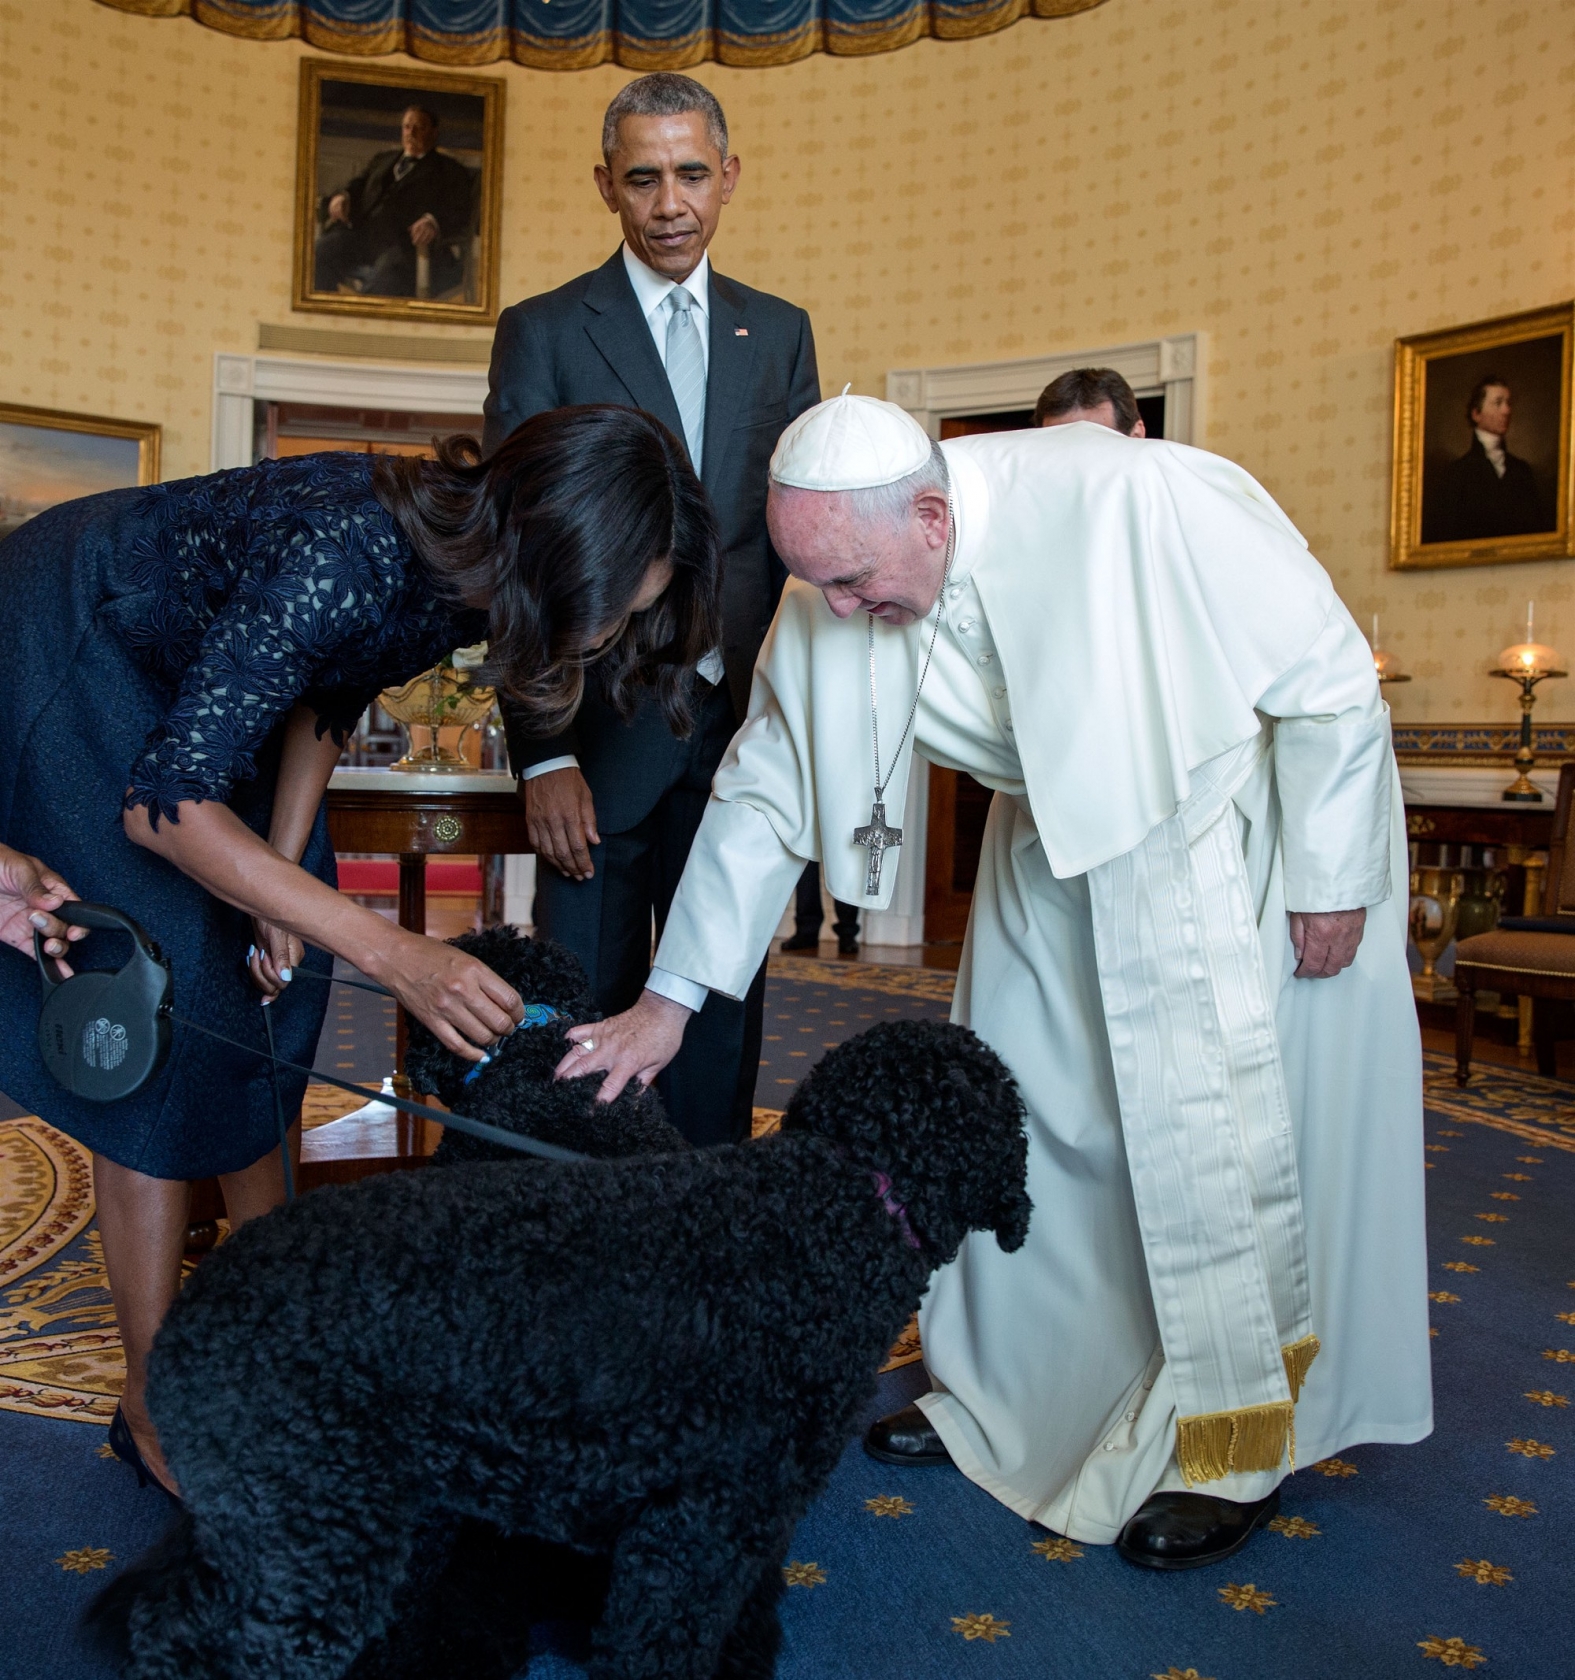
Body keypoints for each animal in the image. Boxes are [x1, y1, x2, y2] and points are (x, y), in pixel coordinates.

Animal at [98, 927, 1034, 1673]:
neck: (837, 1195)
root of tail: (193, 1310)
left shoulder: (719, 1525)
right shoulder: (698, 1528)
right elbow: (658, 1648)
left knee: (167, 1623)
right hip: (316, 1542)